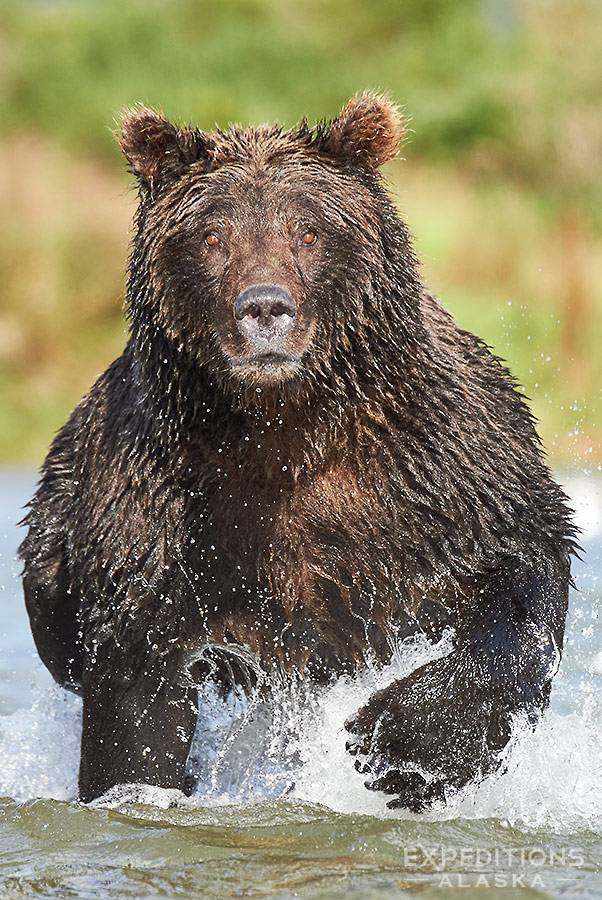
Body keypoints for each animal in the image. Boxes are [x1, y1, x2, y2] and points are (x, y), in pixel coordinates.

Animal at [19, 93, 576, 808]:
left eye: (307, 232)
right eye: (213, 237)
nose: (265, 308)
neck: (284, 427)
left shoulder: (442, 465)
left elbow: (520, 568)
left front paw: (397, 742)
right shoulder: (158, 508)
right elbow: (138, 692)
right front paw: (139, 789)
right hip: (55, 535)